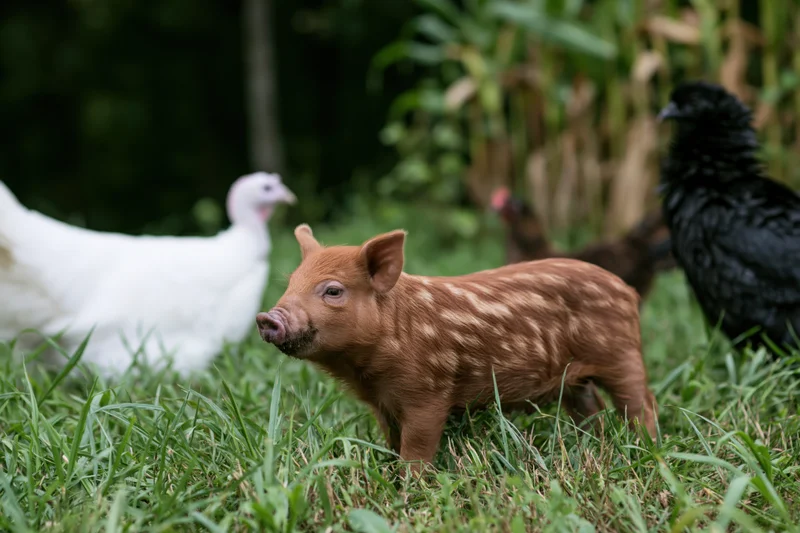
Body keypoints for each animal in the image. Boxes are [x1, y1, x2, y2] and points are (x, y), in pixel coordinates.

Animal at [257, 224, 658, 472]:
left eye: (333, 290)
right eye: (291, 282)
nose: (266, 317)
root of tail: (627, 290)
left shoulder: (428, 393)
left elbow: (417, 448)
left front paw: (410, 485)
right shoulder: (382, 405)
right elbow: (392, 441)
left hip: (623, 355)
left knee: (641, 404)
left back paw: (647, 446)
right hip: (575, 380)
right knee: (593, 408)